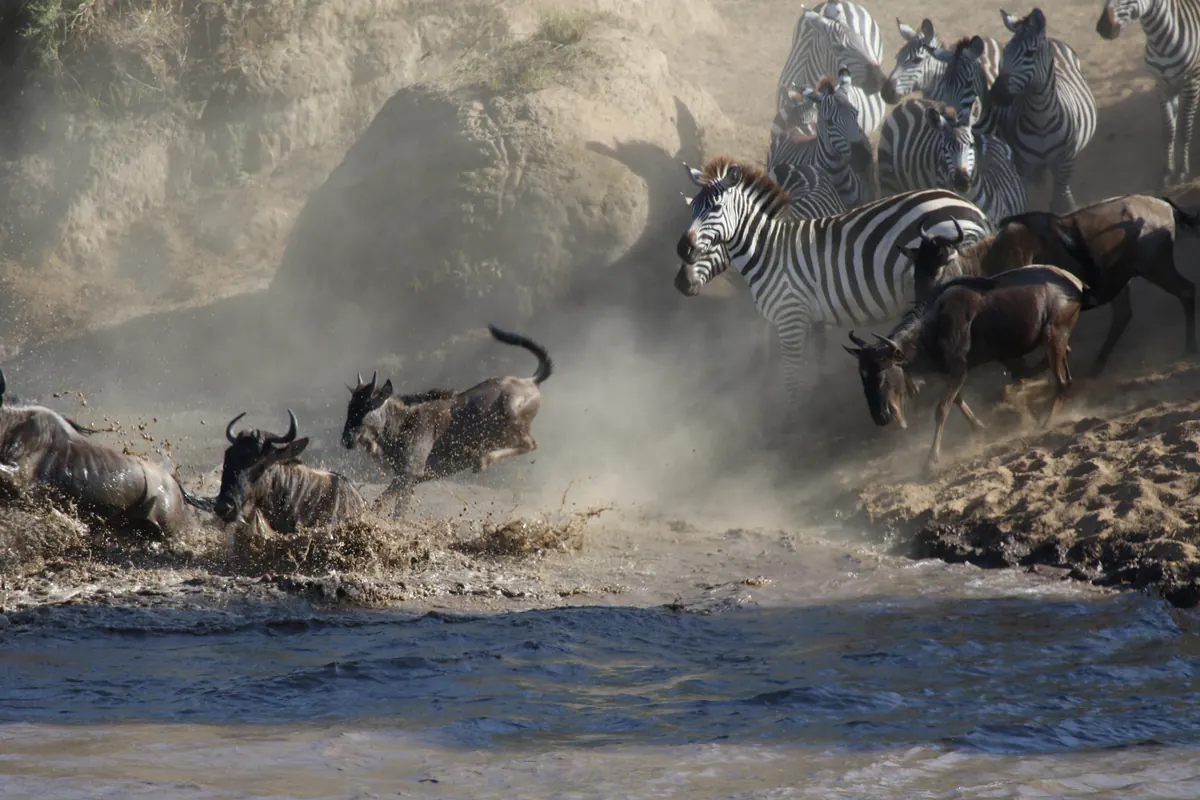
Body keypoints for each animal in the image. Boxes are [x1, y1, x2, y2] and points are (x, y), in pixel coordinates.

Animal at [674, 156, 991, 401]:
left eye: (715, 208)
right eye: (692, 210)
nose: (682, 252)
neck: (766, 251)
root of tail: (969, 206)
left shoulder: (789, 318)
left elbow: (790, 376)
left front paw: (794, 422)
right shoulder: (811, 317)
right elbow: (818, 355)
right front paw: (821, 391)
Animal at [990, 8, 1098, 214]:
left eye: (1030, 53)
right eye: (1005, 52)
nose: (997, 95)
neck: (1041, 120)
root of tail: (1053, 40)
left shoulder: (1064, 162)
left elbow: (1059, 203)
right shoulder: (1023, 167)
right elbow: (1023, 201)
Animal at [1097, 0, 1200, 187]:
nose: (1103, 28)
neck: (1159, 42)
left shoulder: (1192, 83)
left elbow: (1185, 130)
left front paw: (1183, 171)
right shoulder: (1161, 86)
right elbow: (1168, 131)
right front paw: (1167, 172)